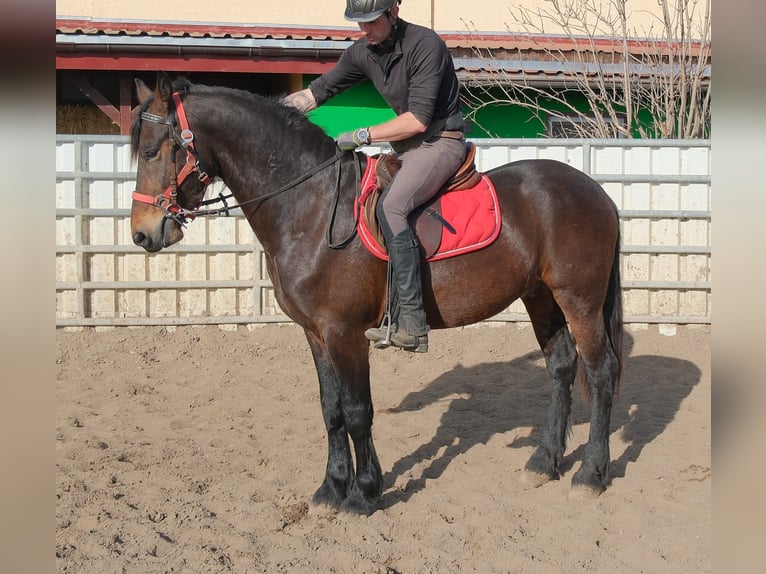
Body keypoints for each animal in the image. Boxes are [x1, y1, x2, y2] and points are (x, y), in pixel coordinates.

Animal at [130, 72, 623, 516]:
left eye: (153, 151)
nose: (142, 234)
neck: (311, 206)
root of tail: (594, 190)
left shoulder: (345, 333)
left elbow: (356, 410)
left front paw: (364, 493)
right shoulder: (315, 333)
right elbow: (331, 410)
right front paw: (331, 488)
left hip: (579, 299)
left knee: (600, 372)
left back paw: (591, 474)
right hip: (540, 296)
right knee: (560, 365)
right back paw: (544, 462)